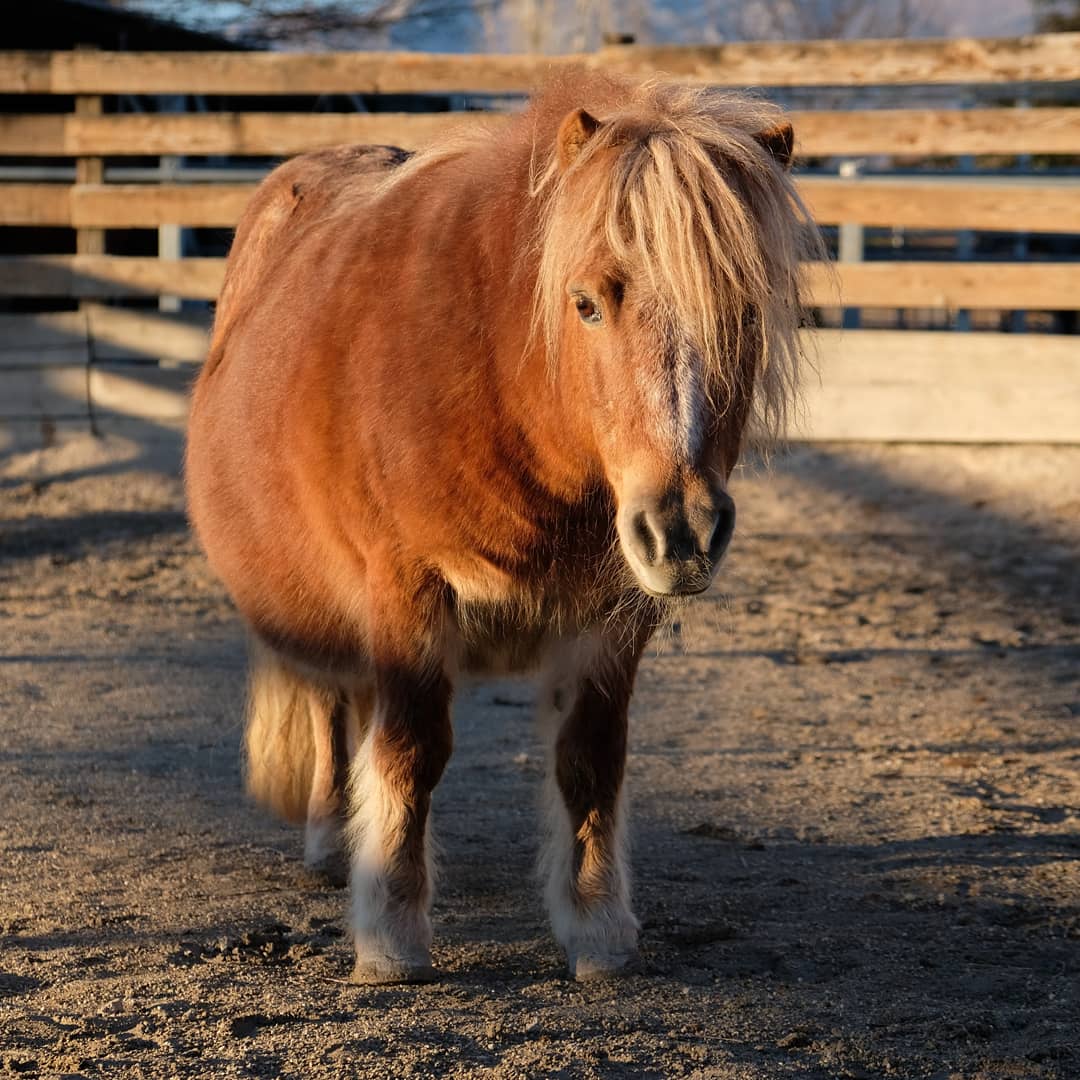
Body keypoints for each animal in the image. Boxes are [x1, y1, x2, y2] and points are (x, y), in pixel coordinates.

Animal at [185, 68, 816, 984]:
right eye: (585, 304)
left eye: (745, 314)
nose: (683, 530)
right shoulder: (404, 594)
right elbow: (411, 752)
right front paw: (391, 937)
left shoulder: (611, 618)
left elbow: (590, 761)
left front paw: (597, 930)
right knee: (338, 710)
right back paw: (336, 843)